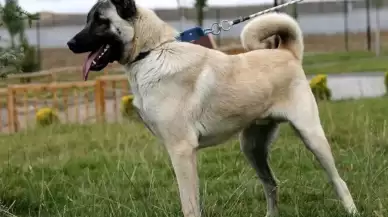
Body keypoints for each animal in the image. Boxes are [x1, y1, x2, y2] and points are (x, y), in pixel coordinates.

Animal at [68, 0, 360, 216]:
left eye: (100, 21)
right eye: (88, 19)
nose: (70, 44)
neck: (152, 52)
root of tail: (286, 53)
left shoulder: (182, 152)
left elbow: (190, 206)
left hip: (312, 137)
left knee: (338, 180)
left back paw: (351, 209)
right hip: (252, 149)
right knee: (271, 185)